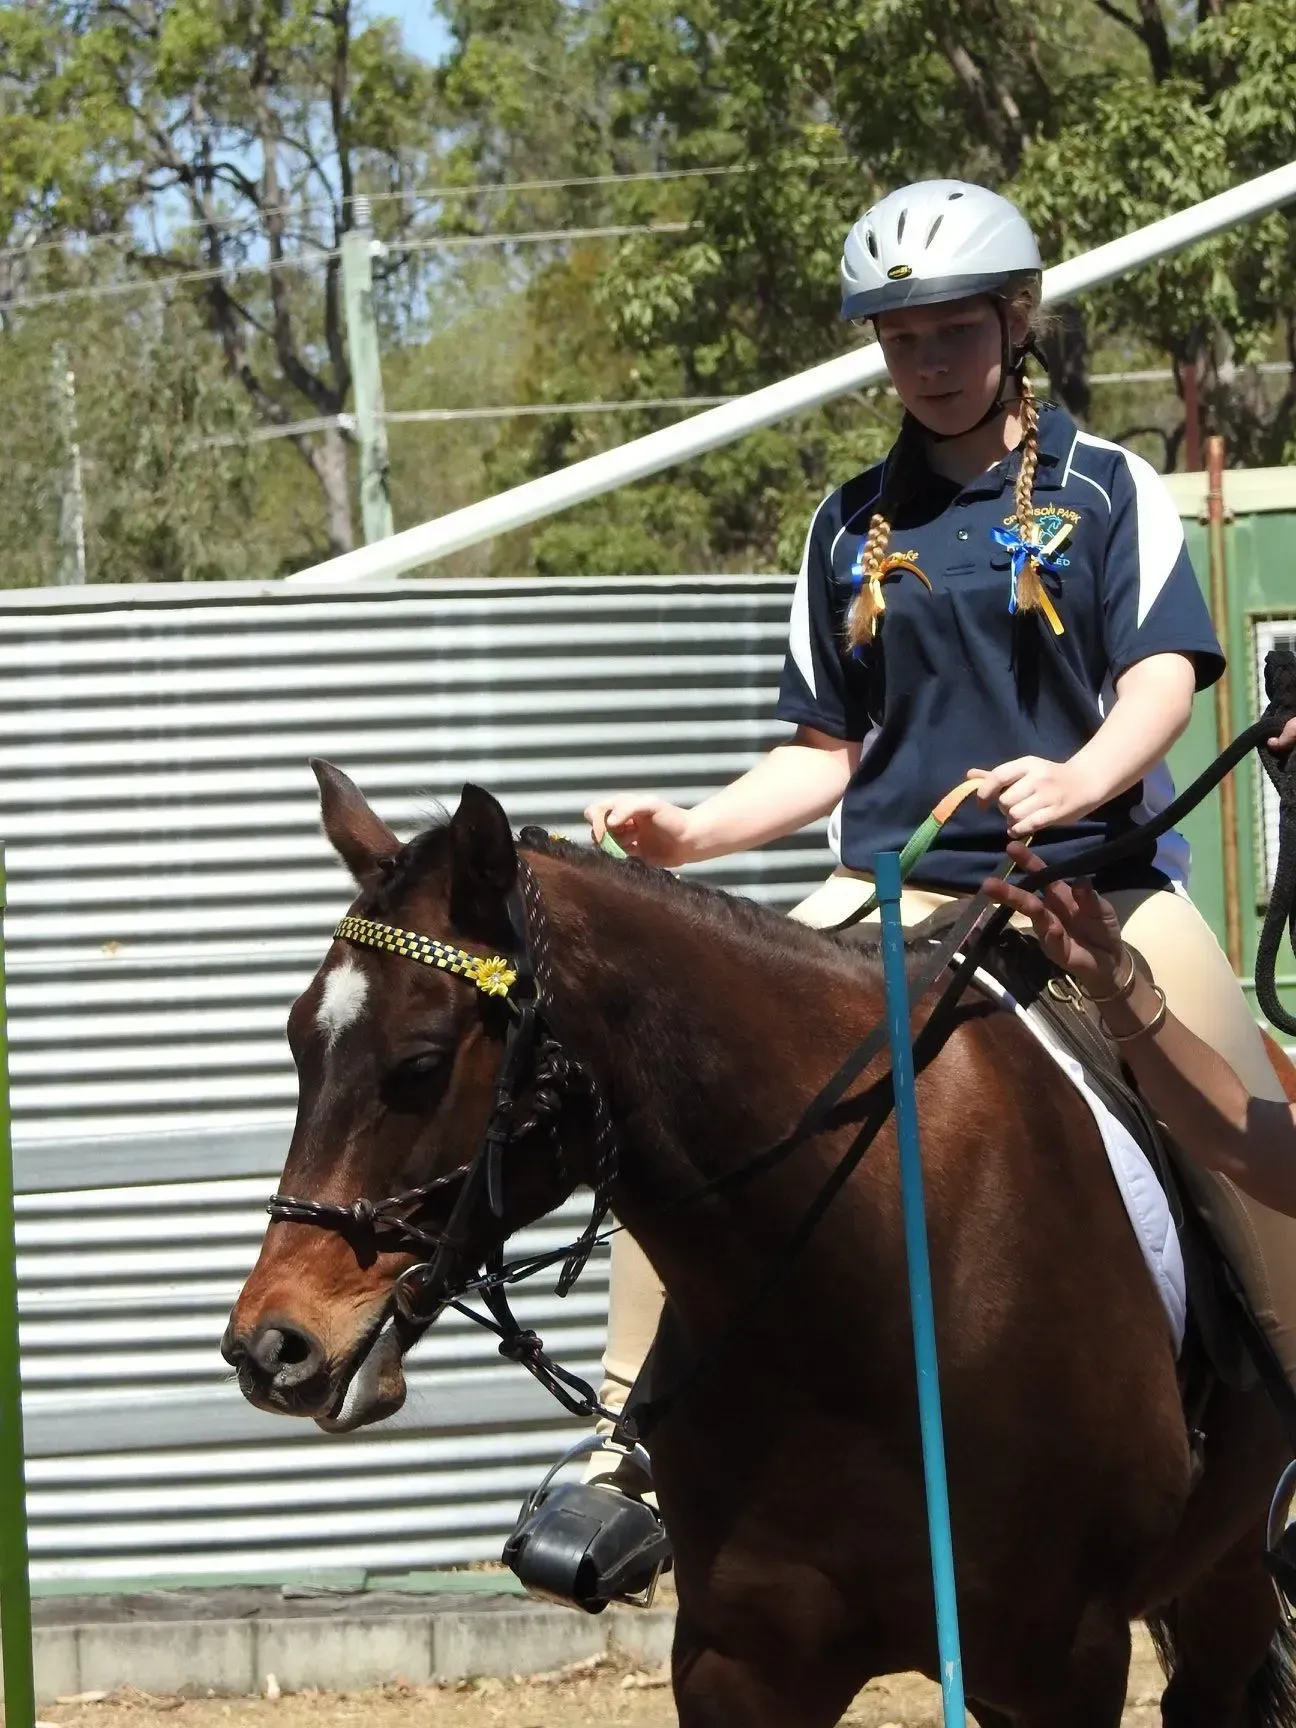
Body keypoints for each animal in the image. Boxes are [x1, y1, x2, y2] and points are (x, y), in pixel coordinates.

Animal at [224, 760, 1296, 1728]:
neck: (860, 1297)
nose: (271, 1347)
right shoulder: (743, 1661)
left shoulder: (1055, 1664)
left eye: (419, 1065)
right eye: (298, 1042)